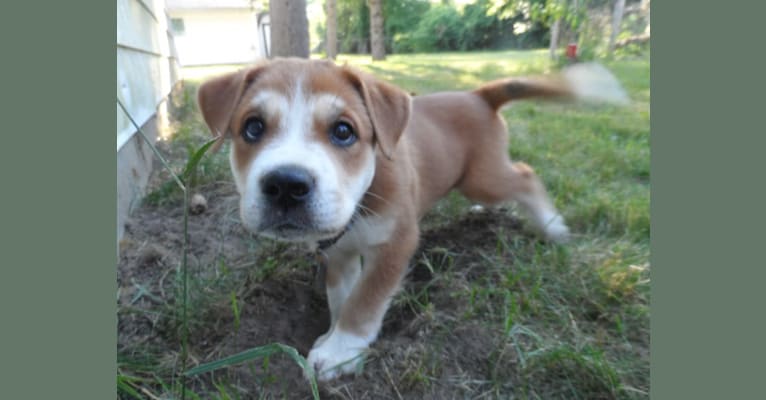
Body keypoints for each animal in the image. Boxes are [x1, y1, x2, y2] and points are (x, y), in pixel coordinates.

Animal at [195, 57, 628, 380]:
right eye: (252, 127)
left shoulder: (396, 243)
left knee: (524, 174)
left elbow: (365, 300)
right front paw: (333, 335)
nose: (286, 184)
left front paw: (341, 351)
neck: (362, 200)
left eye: (343, 131)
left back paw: (552, 226)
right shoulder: (339, 254)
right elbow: (343, 296)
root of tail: (477, 96)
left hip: (483, 178)